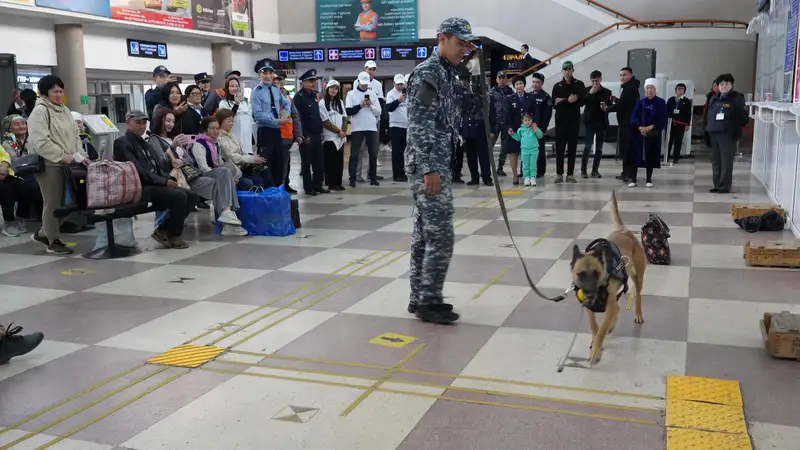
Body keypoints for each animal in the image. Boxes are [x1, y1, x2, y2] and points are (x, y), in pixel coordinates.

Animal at [572, 191, 648, 366]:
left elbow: (601, 330)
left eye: (597, 273)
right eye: (580, 274)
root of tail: (624, 230)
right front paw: (596, 343)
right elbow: (595, 327)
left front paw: (596, 352)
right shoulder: (591, 309)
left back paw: (638, 313)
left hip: (637, 278)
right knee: (617, 309)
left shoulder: (609, 304)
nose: (590, 294)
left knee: (638, 295)